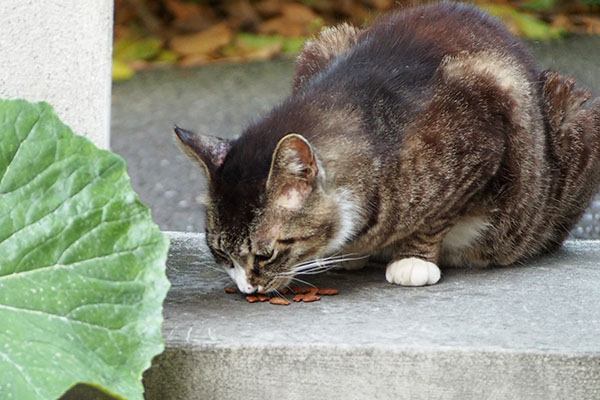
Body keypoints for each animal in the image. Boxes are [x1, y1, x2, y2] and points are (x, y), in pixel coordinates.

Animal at [173, 0, 600, 294]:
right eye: (221, 254)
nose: (249, 289)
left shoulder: (482, 140)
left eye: (265, 255)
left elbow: (435, 217)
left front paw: (412, 259)